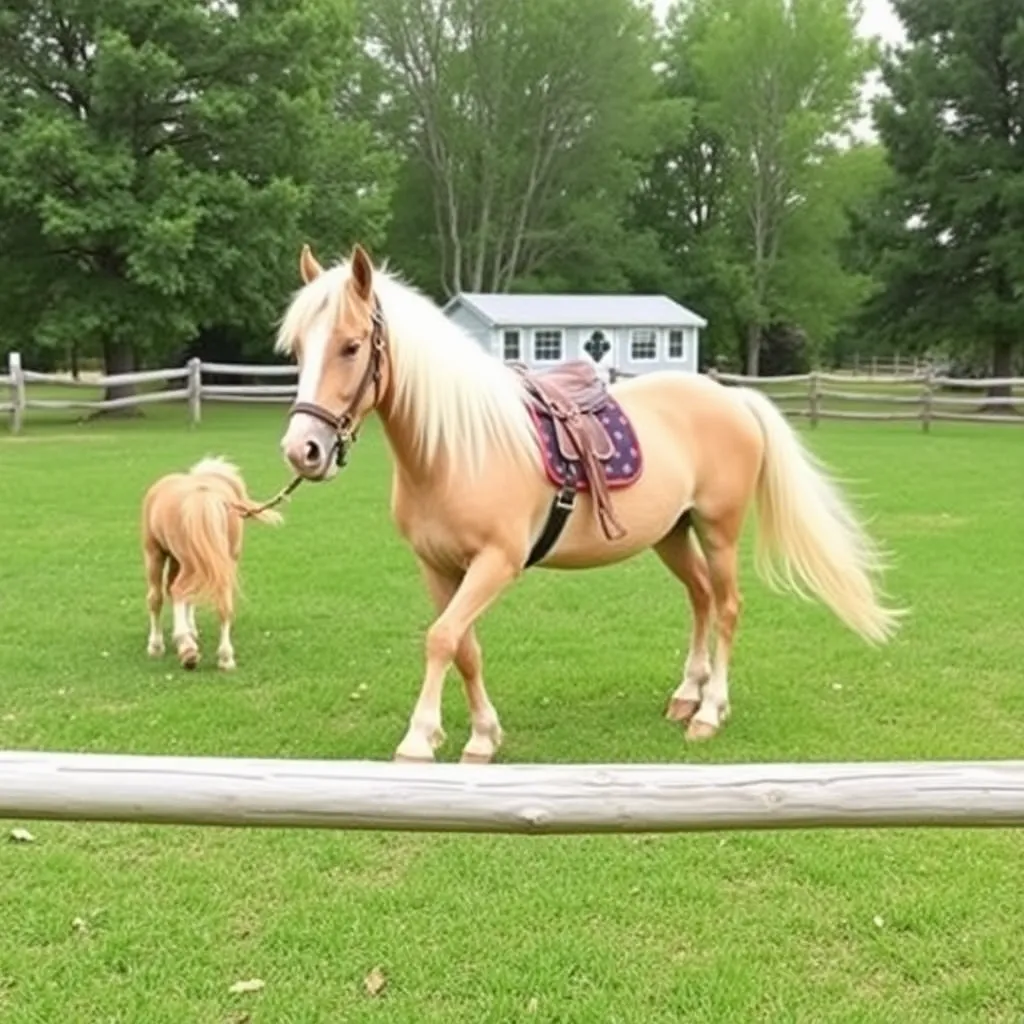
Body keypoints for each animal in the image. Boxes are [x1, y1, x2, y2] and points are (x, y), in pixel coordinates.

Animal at [273, 243, 904, 764]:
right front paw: (483, 737)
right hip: (672, 535)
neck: (457, 450)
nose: (303, 450)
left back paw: (708, 713)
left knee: (726, 607)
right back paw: (687, 693)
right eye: (299, 349)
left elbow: (443, 638)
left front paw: (419, 739)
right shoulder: (438, 567)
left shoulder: (496, 563)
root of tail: (733, 399)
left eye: (352, 346)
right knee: (701, 598)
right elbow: (464, 647)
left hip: (718, 529)